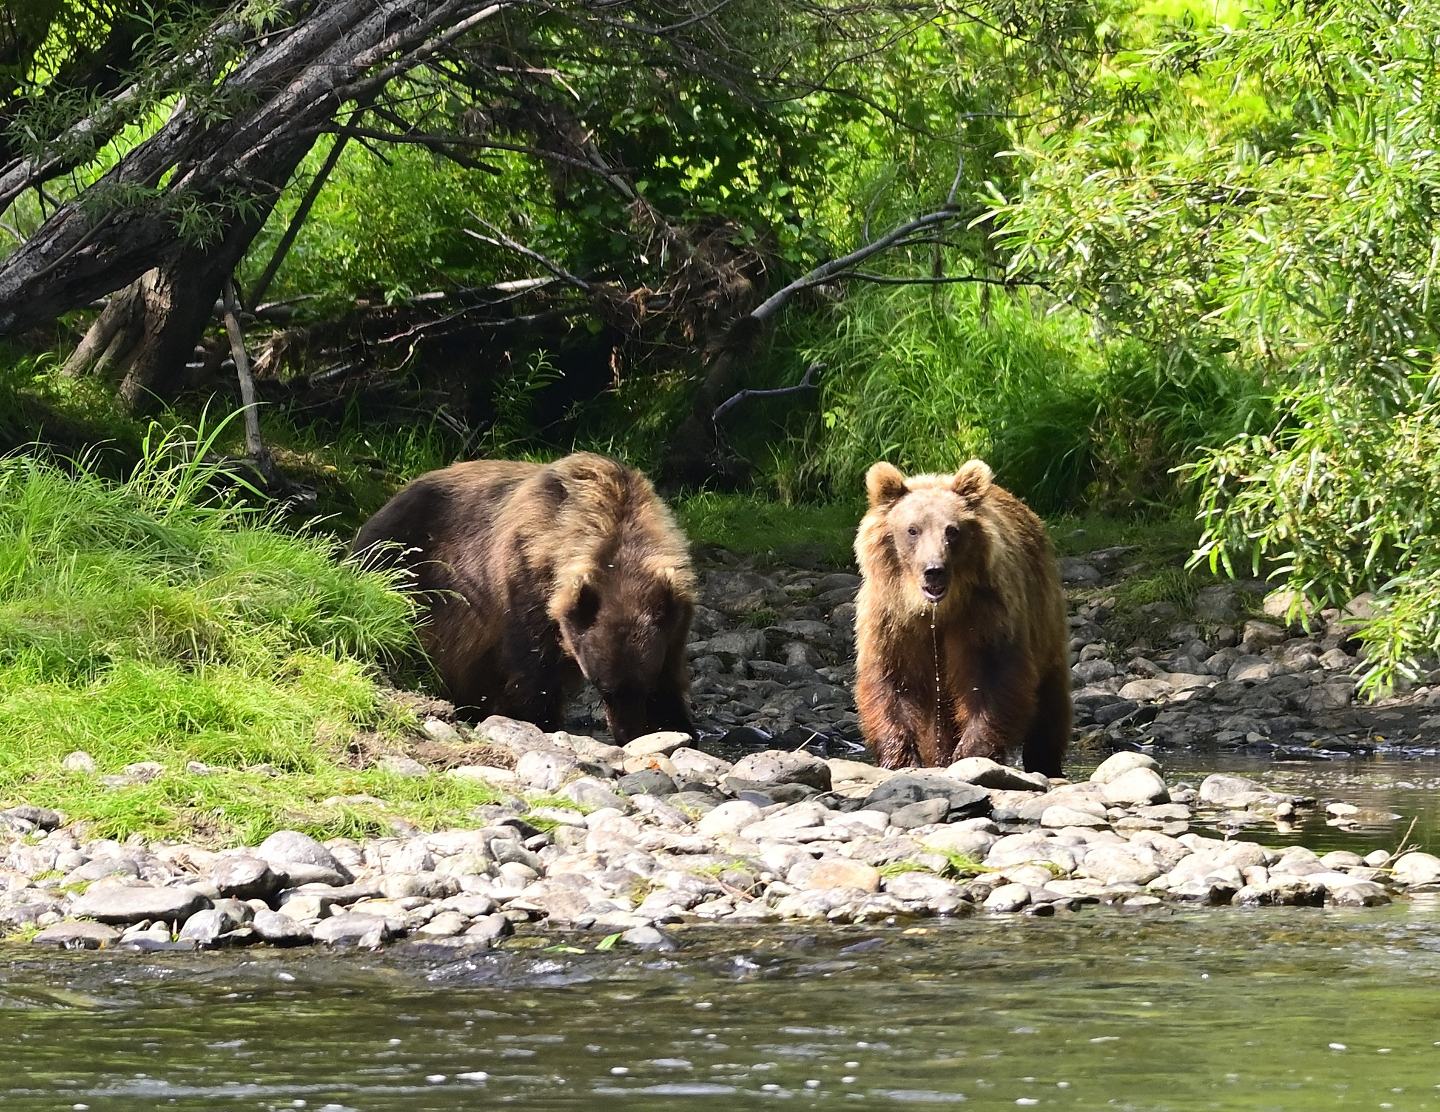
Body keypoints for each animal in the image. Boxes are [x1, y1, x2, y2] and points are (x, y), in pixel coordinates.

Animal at [357, 446, 699, 743]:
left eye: (643, 686)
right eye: (603, 687)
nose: (626, 734)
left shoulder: (675, 616)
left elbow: (670, 675)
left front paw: (677, 726)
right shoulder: (524, 577)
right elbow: (533, 667)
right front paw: (540, 721)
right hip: (405, 567)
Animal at [852, 458, 1071, 772]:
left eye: (952, 530)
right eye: (912, 530)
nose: (934, 570)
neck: (935, 611)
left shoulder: (984, 615)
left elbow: (992, 679)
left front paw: (970, 754)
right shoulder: (892, 623)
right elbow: (891, 683)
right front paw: (901, 758)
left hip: (1044, 617)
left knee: (1050, 699)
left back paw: (1044, 759)